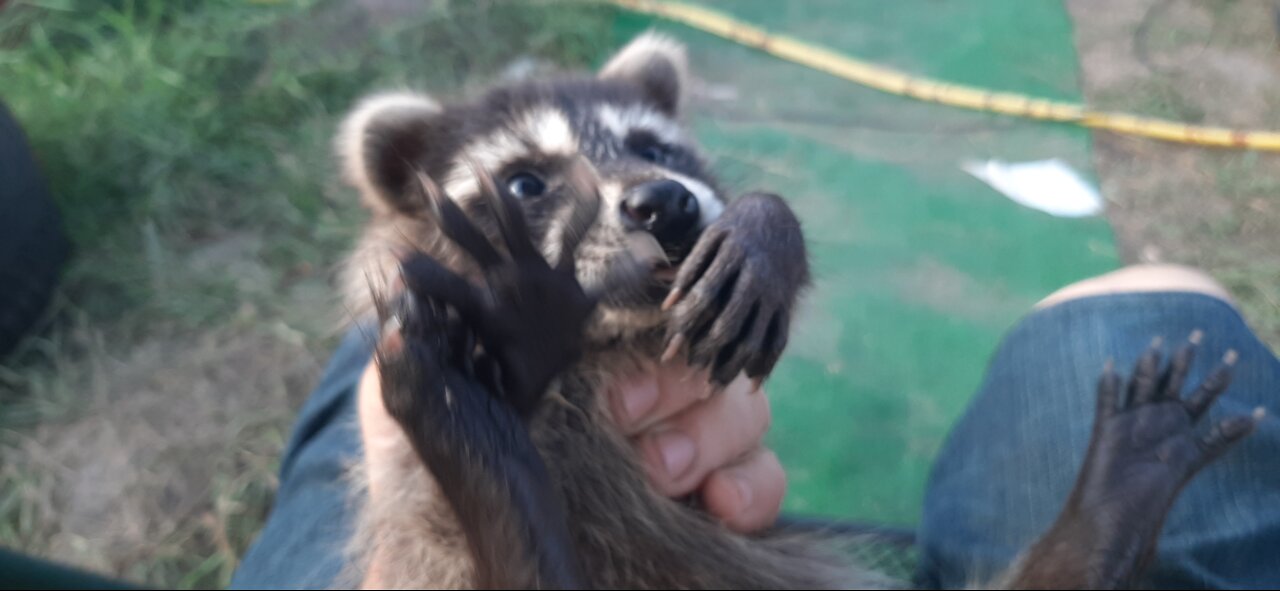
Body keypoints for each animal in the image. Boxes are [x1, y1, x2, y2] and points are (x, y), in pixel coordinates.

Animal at [330, 33, 1259, 591]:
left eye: (655, 148)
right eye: (526, 183)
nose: (669, 203)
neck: (602, 354)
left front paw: (763, 226)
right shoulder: (428, 525)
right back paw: (476, 438)